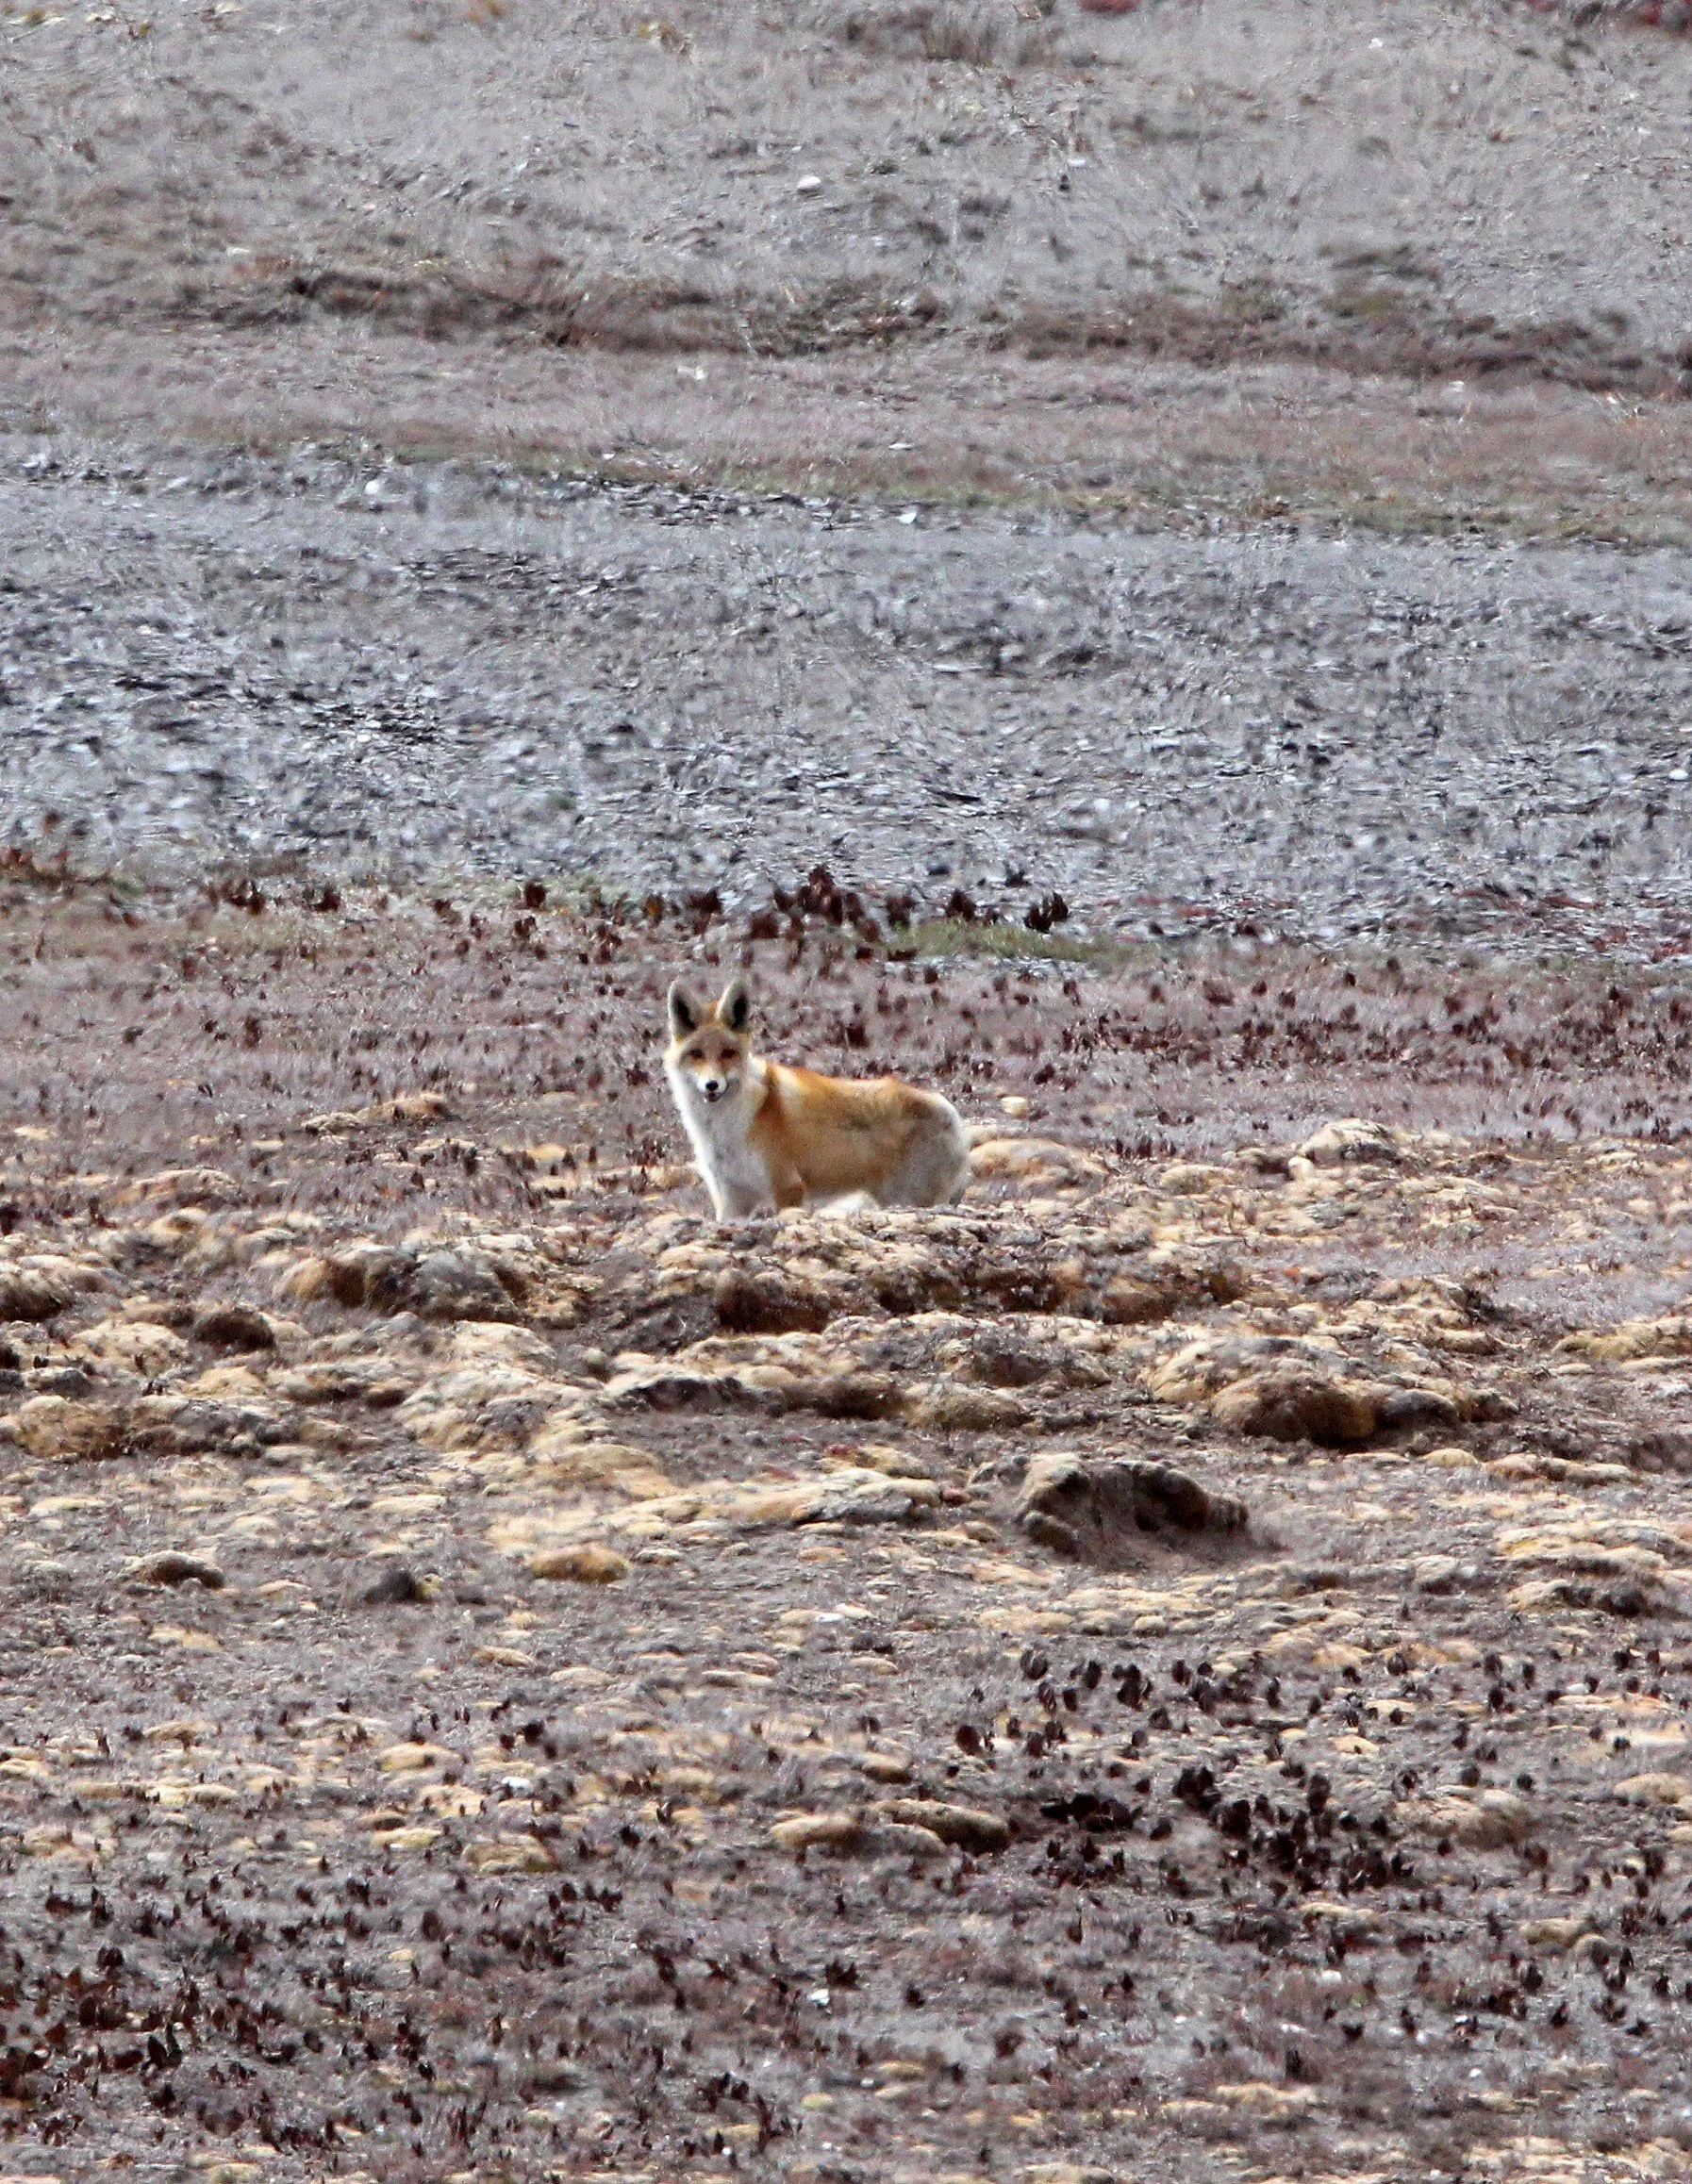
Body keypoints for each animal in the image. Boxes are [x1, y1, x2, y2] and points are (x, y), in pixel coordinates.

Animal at [663, 975, 971, 1219]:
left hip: (911, 1200)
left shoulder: (788, 1186)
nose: (712, 1085)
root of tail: (953, 1115)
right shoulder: (731, 1198)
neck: (726, 1128)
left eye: (728, 1053)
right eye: (697, 1054)